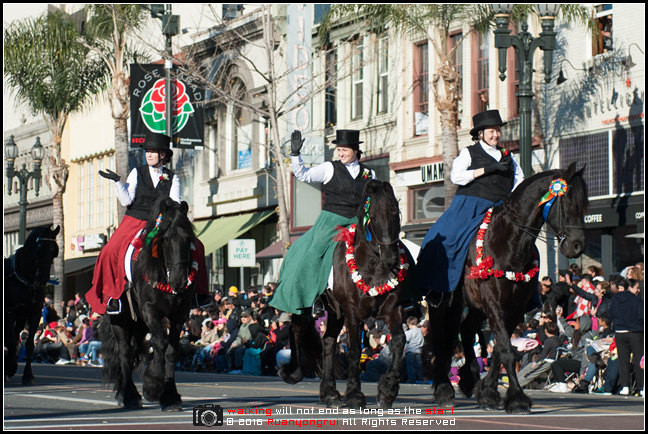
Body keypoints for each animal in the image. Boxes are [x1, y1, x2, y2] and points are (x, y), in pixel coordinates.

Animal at [4, 225, 59, 384]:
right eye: (39, 249)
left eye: (54, 251)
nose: (44, 278)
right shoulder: (10, 312)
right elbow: (11, 341)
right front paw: (11, 368)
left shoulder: (34, 313)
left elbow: (28, 344)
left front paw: (27, 375)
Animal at [99, 198, 197, 412]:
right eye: (164, 239)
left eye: (188, 238)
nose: (179, 280)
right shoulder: (150, 310)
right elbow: (159, 343)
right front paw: (153, 386)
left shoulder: (179, 315)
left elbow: (171, 350)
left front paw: (171, 397)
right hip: (120, 321)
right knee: (124, 353)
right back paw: (129, 396)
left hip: (139, 325)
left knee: (133, 350)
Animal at [280, 178, 416, 408]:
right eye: (373, 218)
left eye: (395, 213)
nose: (392, 259)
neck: (373, 265)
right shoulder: (353, 312)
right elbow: (353, 350)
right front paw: (354, 395)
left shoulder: (393, 309)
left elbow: (398, 342)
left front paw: (387, 391)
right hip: (304, 303)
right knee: (297, 330)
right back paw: (294, 374)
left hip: (336, 312)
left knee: (327, 342)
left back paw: (330, 393)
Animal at [428, 161, 588, 412]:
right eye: (568, 202)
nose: (577, 246)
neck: (509, 241)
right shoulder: (494, 302)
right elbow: (505, 349)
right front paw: (517, 399)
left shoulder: (514, 306)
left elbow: (502, 349)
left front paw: (489, 393)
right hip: (444, 302)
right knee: (443, 337)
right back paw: (444, 390)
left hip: (473, 306)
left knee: (464, 331)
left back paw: (468, 379)